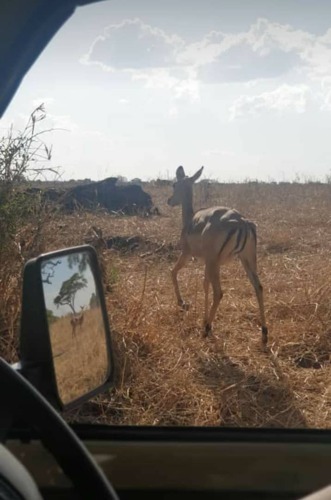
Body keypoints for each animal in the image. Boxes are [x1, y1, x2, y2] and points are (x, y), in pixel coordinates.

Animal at [167, 166, 268, 346]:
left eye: (174, 184)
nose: (169, 200)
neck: (190, 221)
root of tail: (242, 222)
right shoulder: (209, 263)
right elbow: (204, 284)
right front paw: (202, 318)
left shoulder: (188, 254)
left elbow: (174, 272)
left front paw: (183, 303)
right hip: (246, 260)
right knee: (258, 287)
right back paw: (264, 334)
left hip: (216, 262)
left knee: (219, 292)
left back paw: (207, 329)